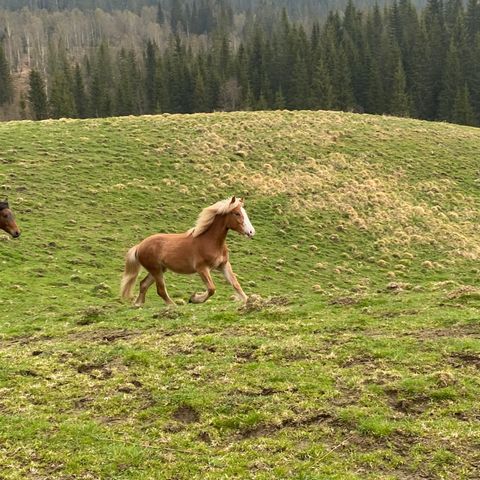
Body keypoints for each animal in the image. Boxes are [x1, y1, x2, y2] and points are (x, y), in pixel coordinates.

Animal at [120, 196, 255, 306]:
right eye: (237, 213)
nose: (251, 232)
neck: (210, 241)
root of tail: (139, 246)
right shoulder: (202, 268)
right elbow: (211, 289)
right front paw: (194, 298)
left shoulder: (224, 265)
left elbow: (236, 284)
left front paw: (248, 301)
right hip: (156, 270)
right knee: (161, 290)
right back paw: (172, 305)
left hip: (159, 269)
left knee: (143, 284)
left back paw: (138, 304)